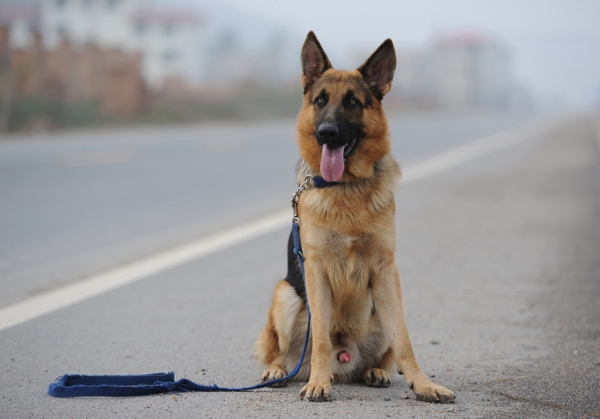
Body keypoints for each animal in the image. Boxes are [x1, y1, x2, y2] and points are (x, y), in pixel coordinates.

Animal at [253, 31, 454, 406]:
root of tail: (343, 362)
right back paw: (281, 371)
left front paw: (423, 384)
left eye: (352, 102)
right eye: (320, 100)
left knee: (381, 355)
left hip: (378, 308)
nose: (327, 133)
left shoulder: (386, 271)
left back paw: (373, 371)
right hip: (285, 295)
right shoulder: (316, 271)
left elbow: (405, 340)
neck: (345, 187)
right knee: (283, 351)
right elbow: (319, 338)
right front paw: (318, 383)